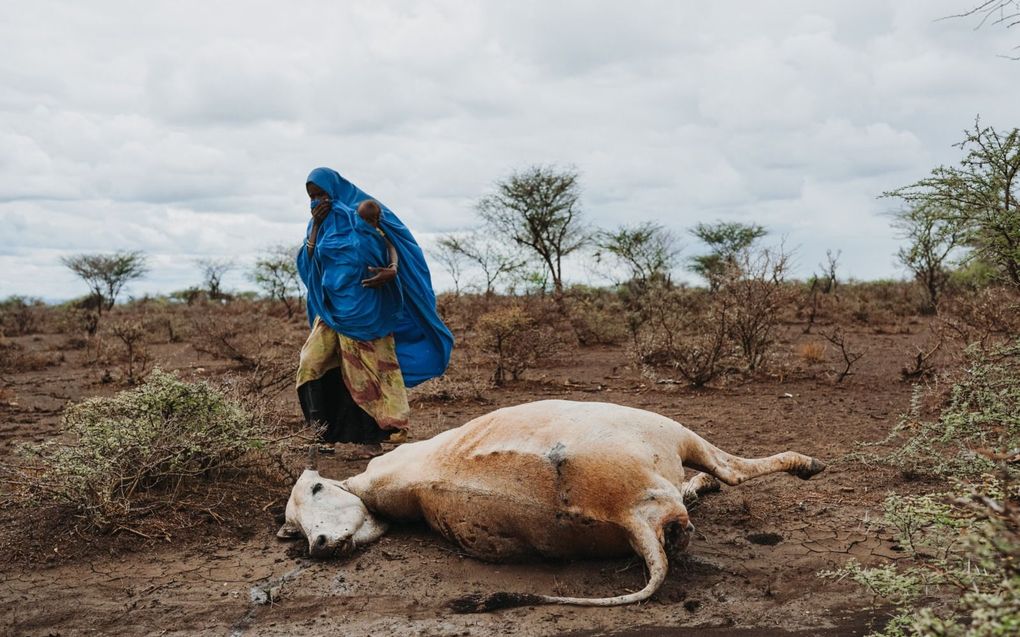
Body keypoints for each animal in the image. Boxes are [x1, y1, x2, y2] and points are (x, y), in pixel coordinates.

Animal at [277, 397, 820, 611]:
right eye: (297, 529)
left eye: (316, 493)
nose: (317, 544)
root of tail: (626, 514)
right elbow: (712, 480)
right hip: (670, 433)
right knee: (729, 471)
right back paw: (806, 463)